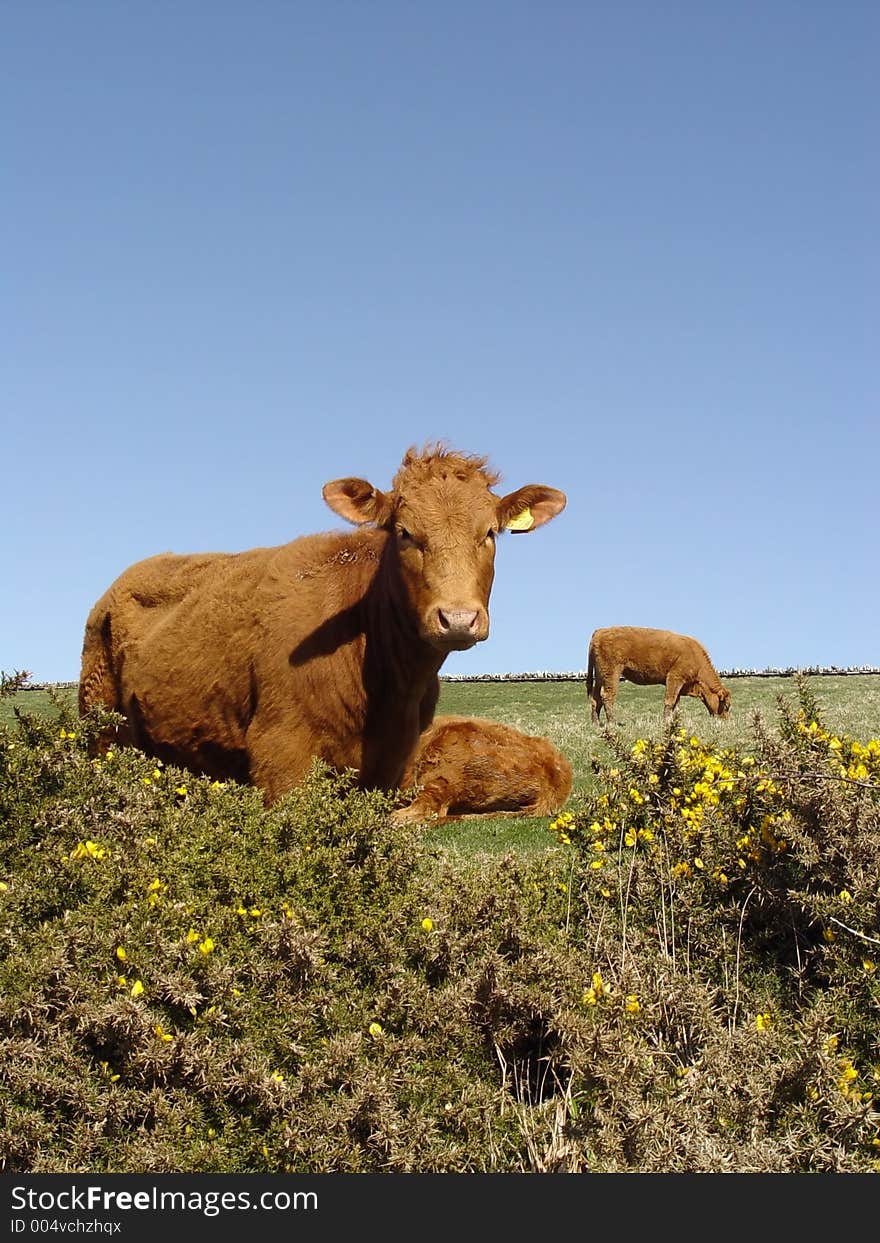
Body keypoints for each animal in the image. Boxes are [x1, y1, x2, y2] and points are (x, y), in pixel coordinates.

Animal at [77, 447, 564, 805]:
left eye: (490, 534)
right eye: (404, 532)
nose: (458, 618)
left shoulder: (393, 762)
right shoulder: (280, 754)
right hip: (100, 730)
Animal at [584, 621, 730, 725]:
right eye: (727, 706)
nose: (725, 721)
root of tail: (600, 631)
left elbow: (675, 704)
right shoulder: (674, 678)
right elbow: (669, 701)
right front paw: (666, 723)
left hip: (600, 676)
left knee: (595, 698)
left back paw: (596, 724)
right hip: (612, 673)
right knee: (607, 696)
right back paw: (612, 723)